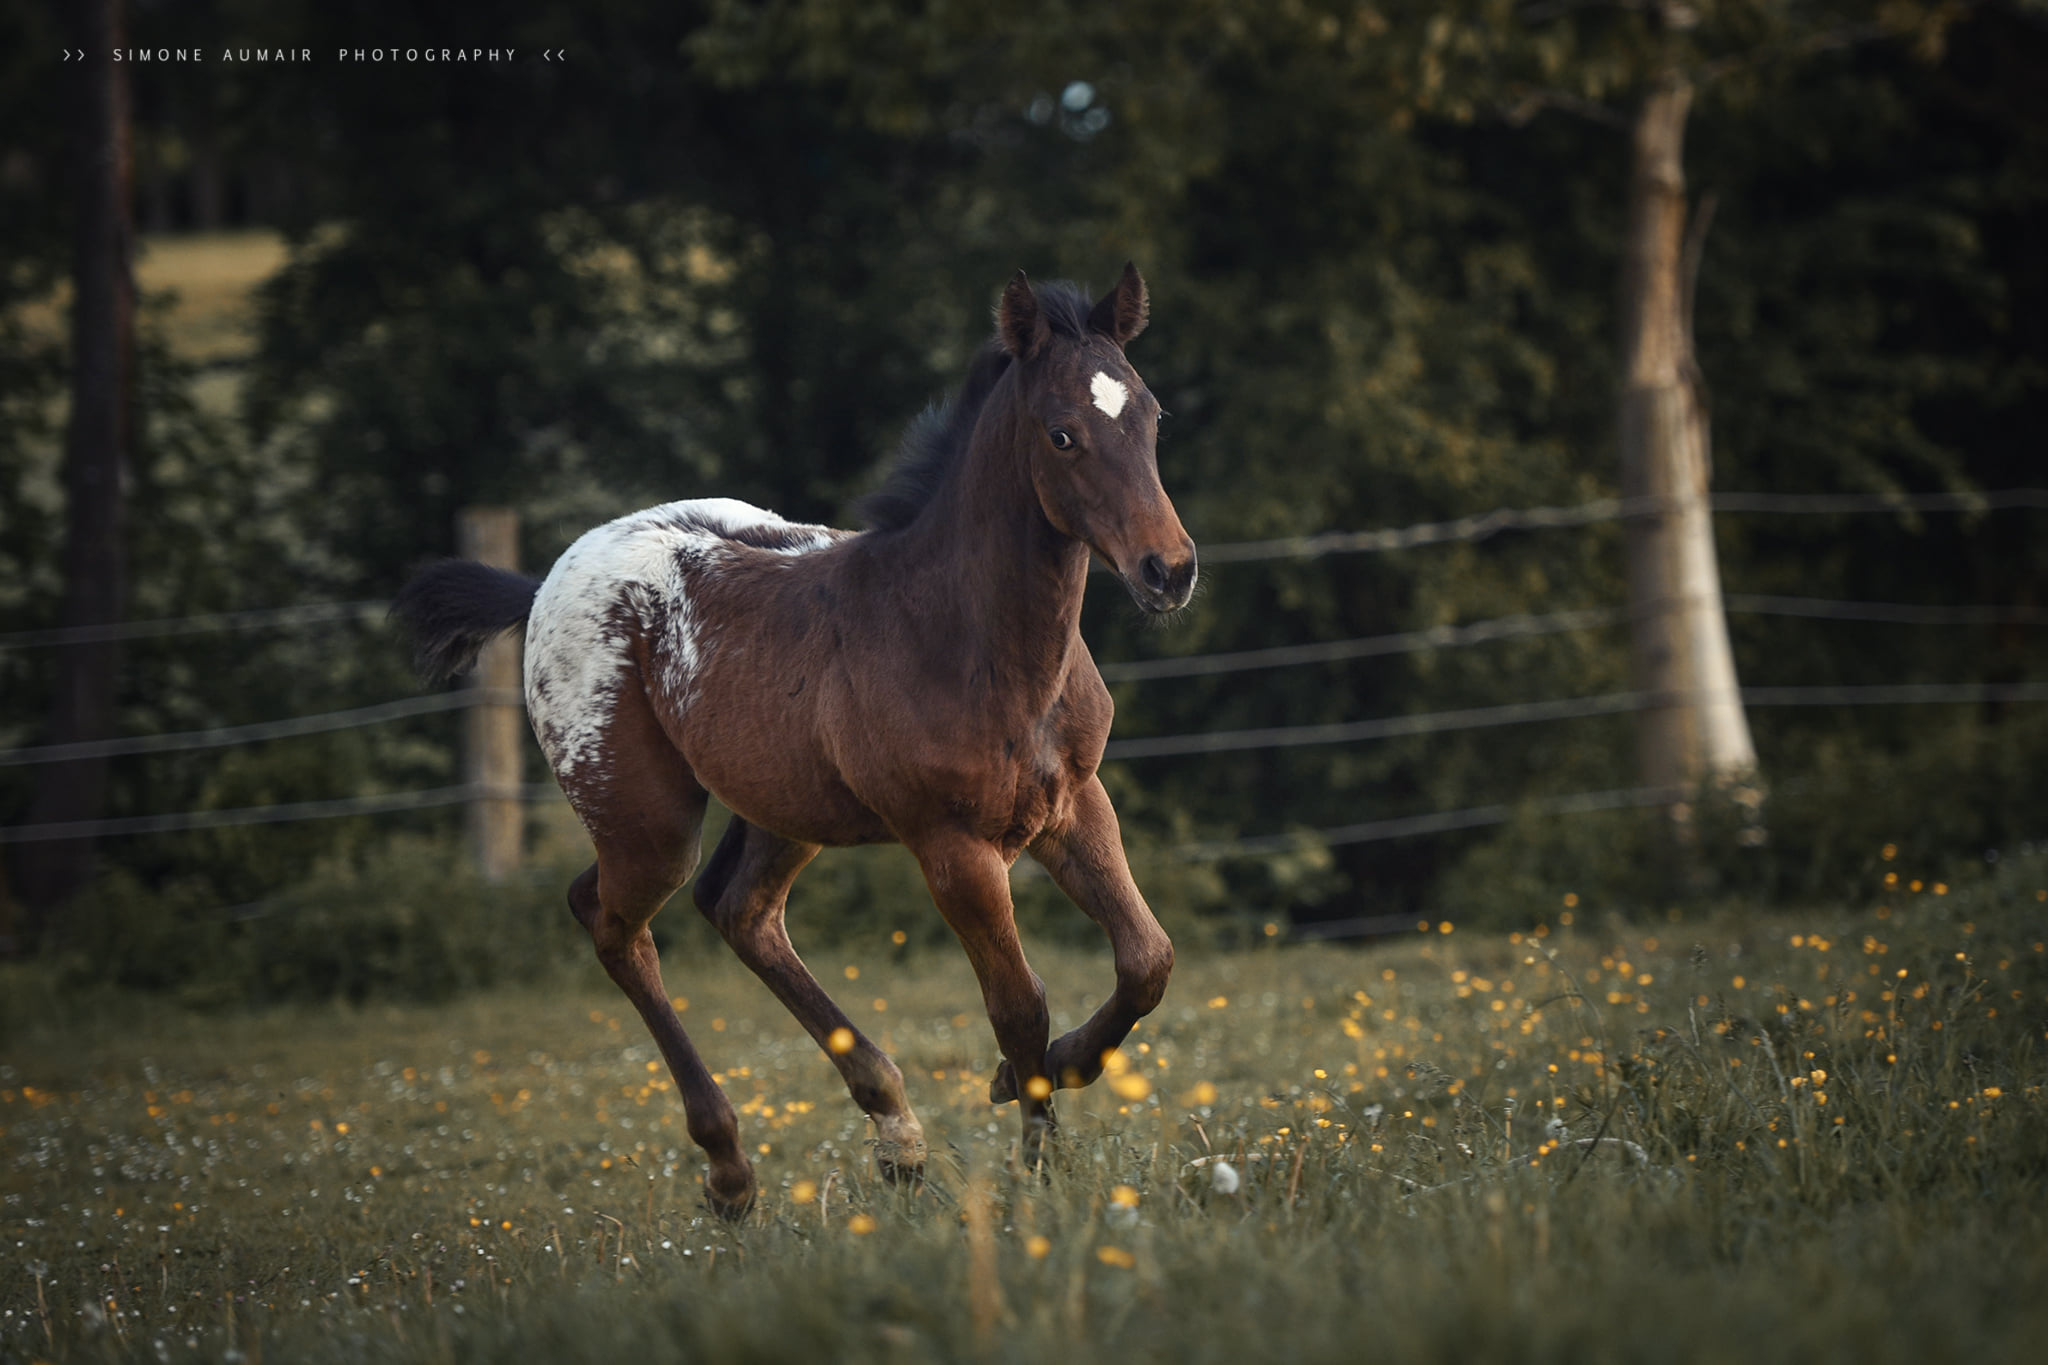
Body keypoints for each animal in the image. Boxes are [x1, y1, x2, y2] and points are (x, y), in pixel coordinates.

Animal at [395, 266, 1196, 1219]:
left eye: (1151, 415)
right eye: (1063, 433)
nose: (1169, 570)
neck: (964, 631)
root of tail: (547, 577)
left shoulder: (1072, 802)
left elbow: (1147, 958)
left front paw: (1046, 1079)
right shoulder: (952, 844)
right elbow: (1018, 1003)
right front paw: (1037, 1172)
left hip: (783, 807)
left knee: (737, 908)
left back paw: (896, 1134)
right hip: (646, 820)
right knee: (615, 921)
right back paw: (731, 1168)